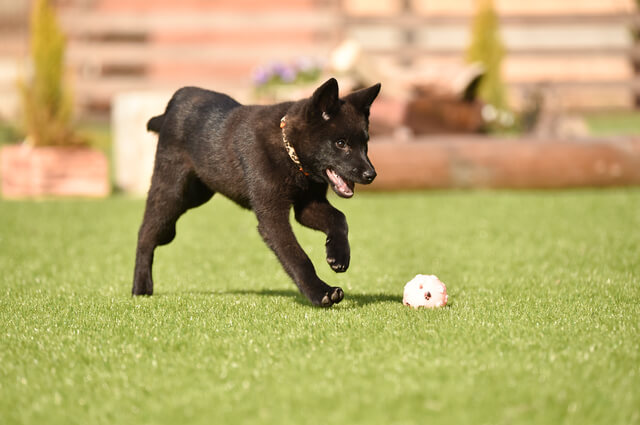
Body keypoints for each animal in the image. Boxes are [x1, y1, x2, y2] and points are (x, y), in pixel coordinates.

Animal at [131, 78, 380, 304]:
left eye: (365, 144)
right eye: (340, 143)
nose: (371, 175)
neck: (289, 152)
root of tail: (176, 100)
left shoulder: (308, 205)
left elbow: (339, 218)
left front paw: (338, 255)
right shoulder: (272, 216)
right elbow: (297, 256)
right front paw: (321, 293)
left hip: (196, 194)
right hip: (171, 193)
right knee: (145, 233)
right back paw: (141, 287)